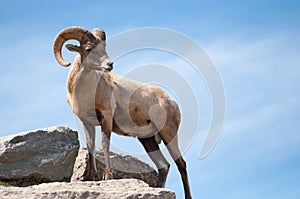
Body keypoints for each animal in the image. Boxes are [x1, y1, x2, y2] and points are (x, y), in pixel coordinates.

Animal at [52, 26, 191, 199]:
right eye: (88, 49)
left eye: (104, 47)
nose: (109, 64)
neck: (86, 92)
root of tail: (171, 101)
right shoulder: (87, 123)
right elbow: (91, 146)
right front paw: (90, 177)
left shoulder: (106, 117)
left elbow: (105, 144)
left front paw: (107, 176)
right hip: (148, 140)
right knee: (163, 166)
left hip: (168, 133)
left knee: (181, 164)